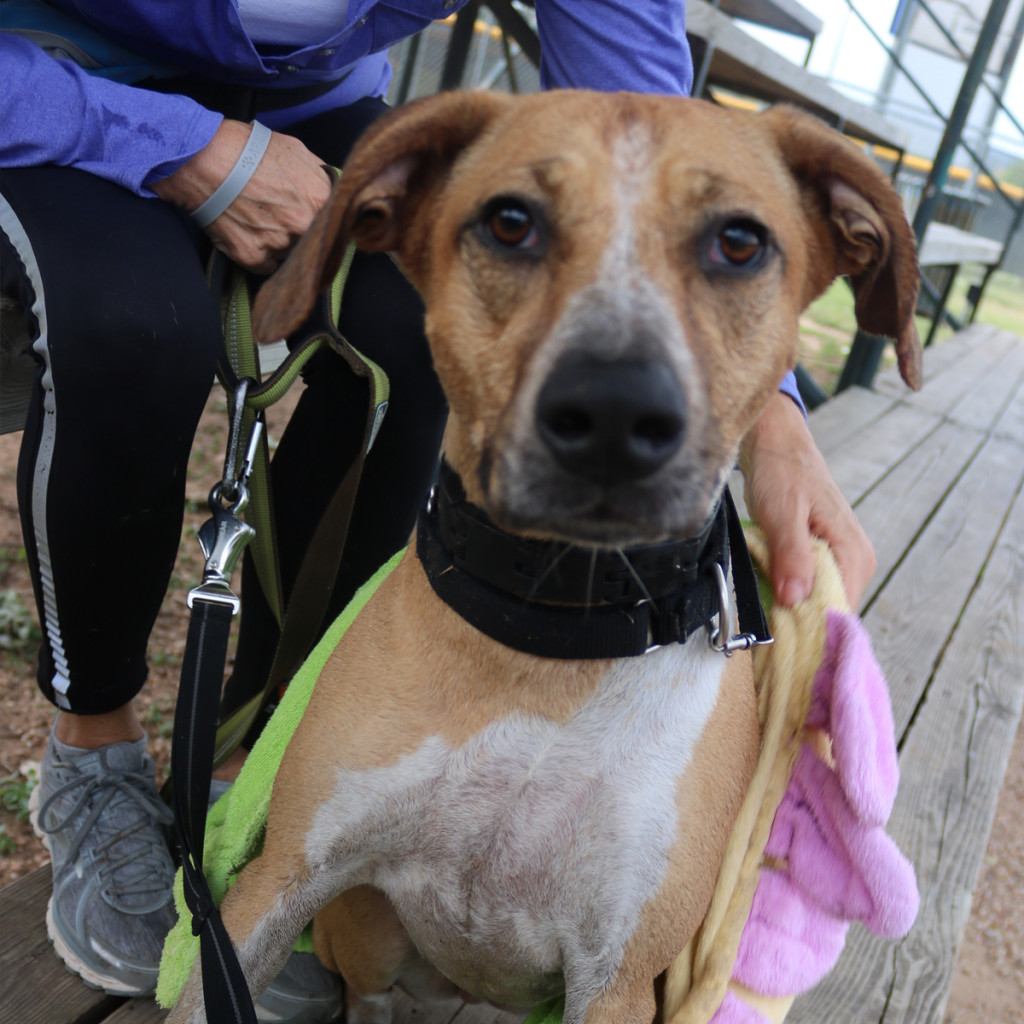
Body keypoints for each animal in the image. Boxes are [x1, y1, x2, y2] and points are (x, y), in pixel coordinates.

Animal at [167, 90, 921, 1024]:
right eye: (511, 222)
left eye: (741, 242)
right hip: (365, 927)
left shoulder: (618, 980)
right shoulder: (279, 882)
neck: (558, 624)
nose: (614, 411)